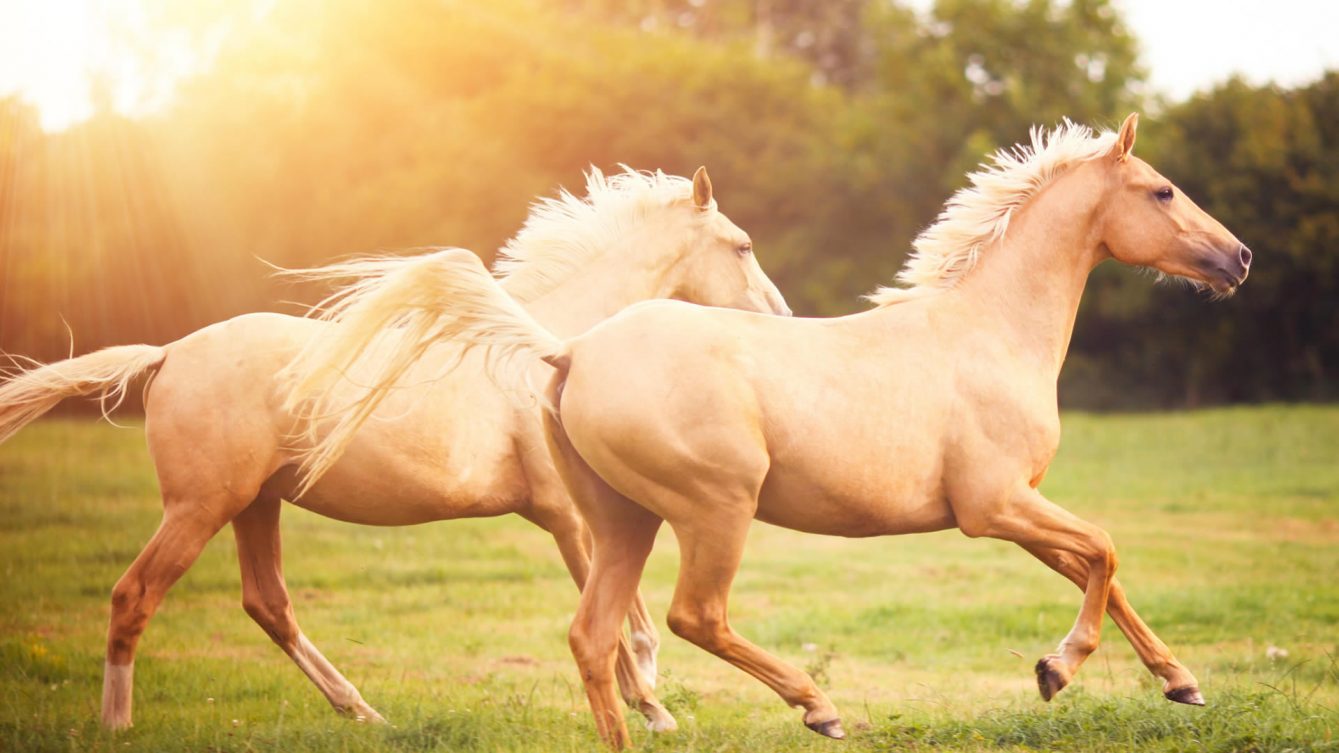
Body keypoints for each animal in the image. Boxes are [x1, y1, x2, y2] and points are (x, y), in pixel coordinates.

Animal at [0, 165, 787, 728]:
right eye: (742, 245)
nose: (781, 317)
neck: (551, 350)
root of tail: (166, 355)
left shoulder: (585, 519)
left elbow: (628, 620)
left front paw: (650, 704)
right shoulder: (570, 518)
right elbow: (620, 623)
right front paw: (652, 708)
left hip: (254, 505)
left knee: (268, 604)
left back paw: (362, 711)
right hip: (199, 506)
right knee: (135, 595)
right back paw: (117, 724)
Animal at [285, 112, 1253, 744]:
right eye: (1161, 190)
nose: (1238, 257)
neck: (985, 330)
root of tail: (569, 351)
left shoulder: (1016, 508)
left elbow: (1099, 569)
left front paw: (1180, 683)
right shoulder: (991, 506)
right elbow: (1106, 552)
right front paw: (1056, 670)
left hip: (620, 521)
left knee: (594, 637)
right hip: (715, 506)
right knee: (692, 615)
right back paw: (816, 704)